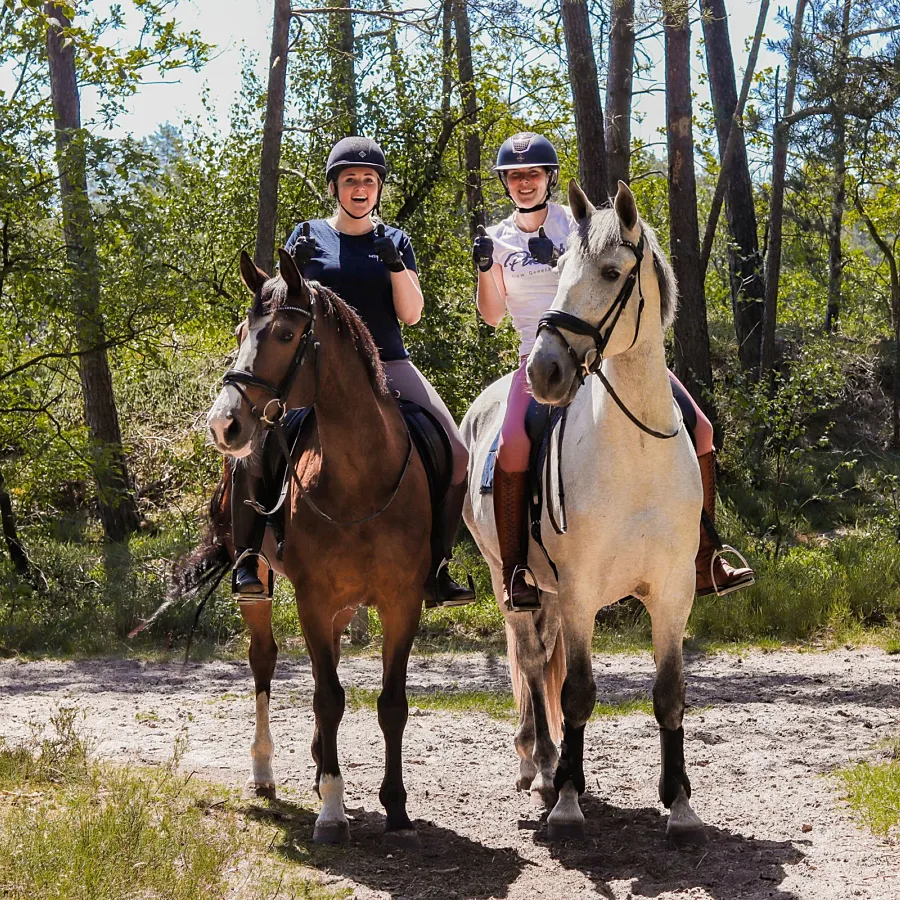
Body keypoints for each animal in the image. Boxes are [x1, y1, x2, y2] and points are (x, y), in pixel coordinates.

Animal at [206, 248, 430, 844]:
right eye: (241, 332)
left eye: (286, 333)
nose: (223, 424)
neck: (361, 479)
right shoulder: (312, 598)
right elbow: (329, 697)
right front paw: (332, 809)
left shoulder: (402, 602)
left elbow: (391, 703)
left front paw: (396, 807)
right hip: (261, 583)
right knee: (264, 661)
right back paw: (265, 771)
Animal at [464, 181, 712, 844]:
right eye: (561, 274)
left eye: (609, 272)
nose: (545, 372)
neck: (635, 455)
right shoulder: (579, 593)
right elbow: (575, 692)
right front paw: (569, 803)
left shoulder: (673, 591)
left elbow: (670, 693)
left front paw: (680, 805)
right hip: (508, 577)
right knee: (531, 659)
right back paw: (544, 767)